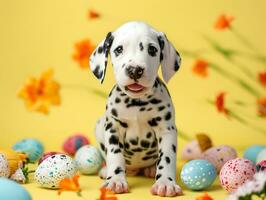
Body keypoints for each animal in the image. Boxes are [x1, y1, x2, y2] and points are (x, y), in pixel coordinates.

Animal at [89, 21, 183, 197]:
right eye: (119, 49)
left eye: (152, 49)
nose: (134, 70)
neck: (136, 105)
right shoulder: (113, 128)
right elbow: (115, 156)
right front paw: (115, 180)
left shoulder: (167, 130)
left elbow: (167, 158)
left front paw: (166, 183)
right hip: (99, 125)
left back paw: (151, 169)